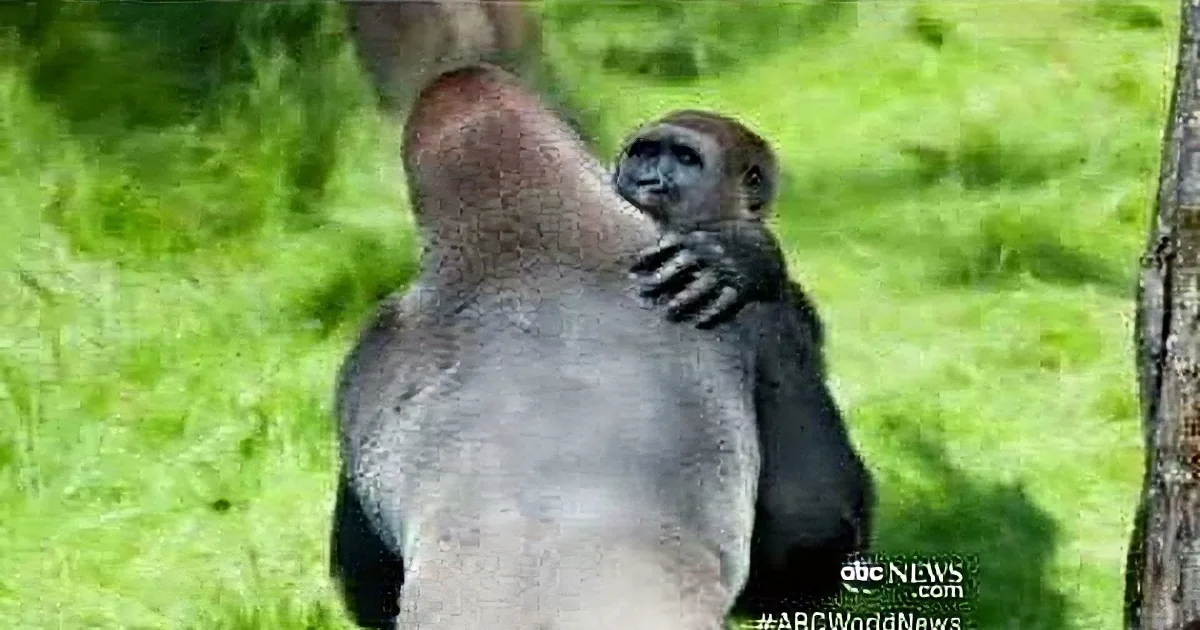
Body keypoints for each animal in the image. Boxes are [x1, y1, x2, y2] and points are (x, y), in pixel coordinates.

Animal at [612, 110, 876, 615]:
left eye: (685, 158)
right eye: (645, 152)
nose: (646, 179)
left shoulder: (775, 310)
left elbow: (813, 503)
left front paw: (742, 254)